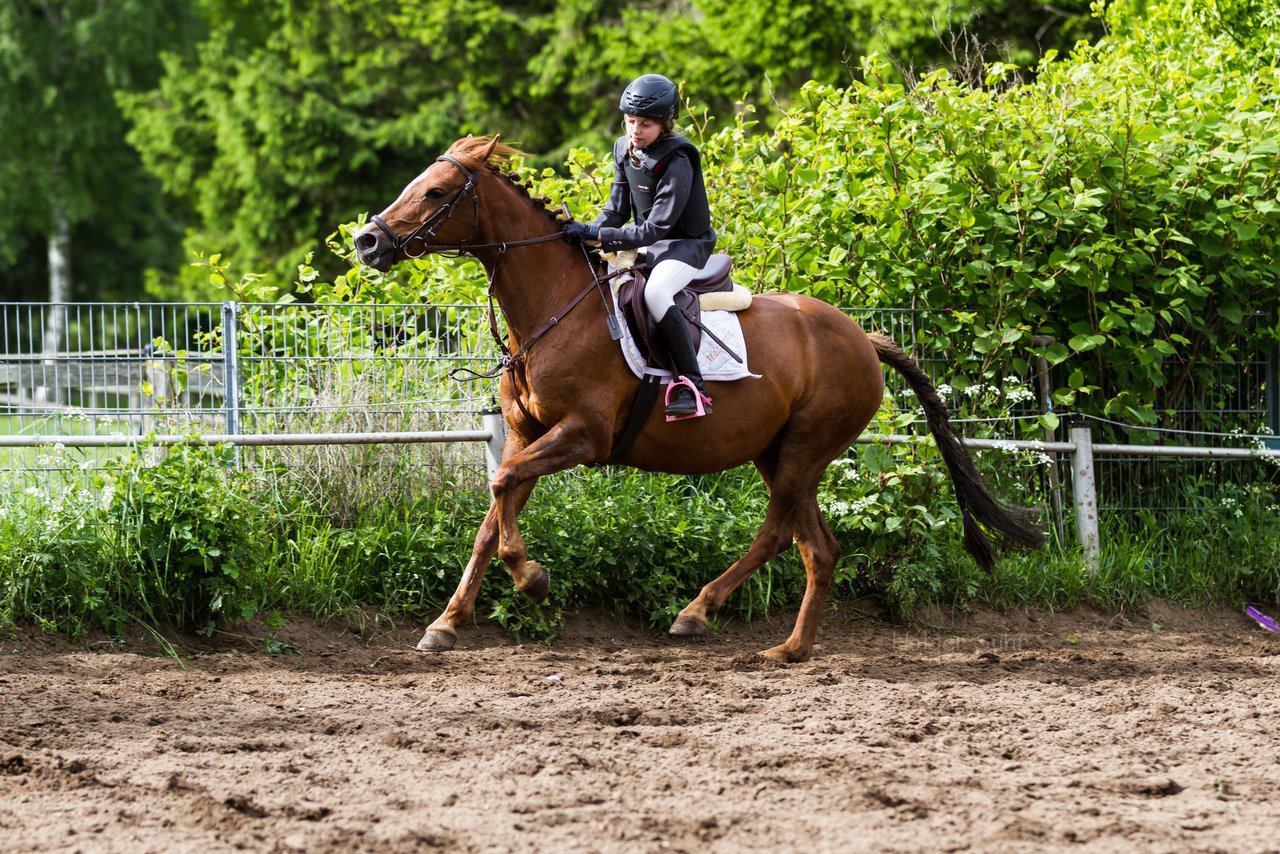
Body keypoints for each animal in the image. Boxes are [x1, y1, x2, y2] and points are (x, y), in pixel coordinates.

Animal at [355, 136, 1044, 665]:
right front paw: (446, 624)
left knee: (777, 534)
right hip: (782, 453)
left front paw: (534, 580)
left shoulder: (582, 436)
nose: (367, 242)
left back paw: (698, 612)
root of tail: (862, 338)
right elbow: (491, 517)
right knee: (817, 548)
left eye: (437, 193)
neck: (554, 310)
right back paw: (791, 649)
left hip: (804, 450)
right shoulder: (528, 436)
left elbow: (501, 492)